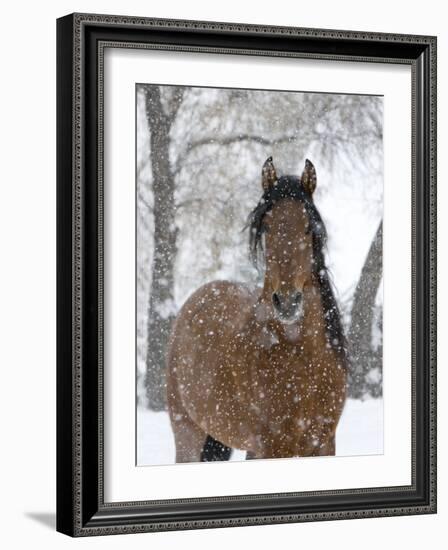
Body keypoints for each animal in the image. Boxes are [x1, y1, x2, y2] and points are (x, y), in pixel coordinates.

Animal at [166, 157, 348, 464]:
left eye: (308, 228)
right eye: (266, 228)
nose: (287, 302)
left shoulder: (323, 444)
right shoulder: (273, 447)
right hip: (188, 434)